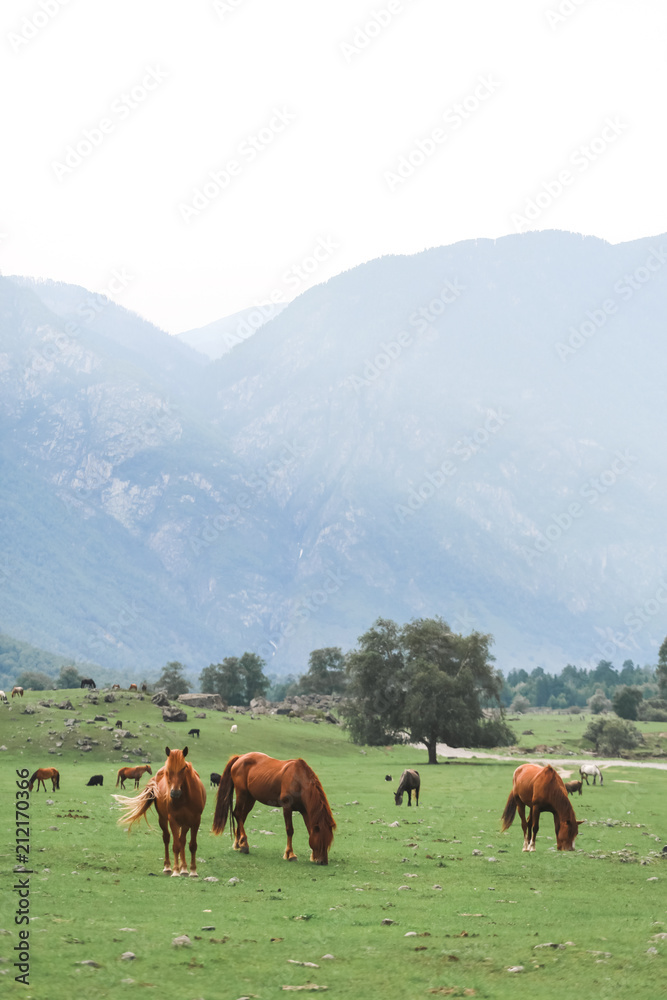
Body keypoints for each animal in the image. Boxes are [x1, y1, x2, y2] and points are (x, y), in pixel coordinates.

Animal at [113, 744, 206, 876]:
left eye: (184, 768)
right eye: (168, 769)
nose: (175, 793)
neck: (185, 797)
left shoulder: (196, 820)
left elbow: (192, 845)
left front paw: (193, 871)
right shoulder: (173, 820)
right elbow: (175, 845)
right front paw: (175, 871)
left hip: (185, 823)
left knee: (182, 840)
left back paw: (184, 868)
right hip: (163, 819)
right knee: (167, 839)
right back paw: (168, 867)